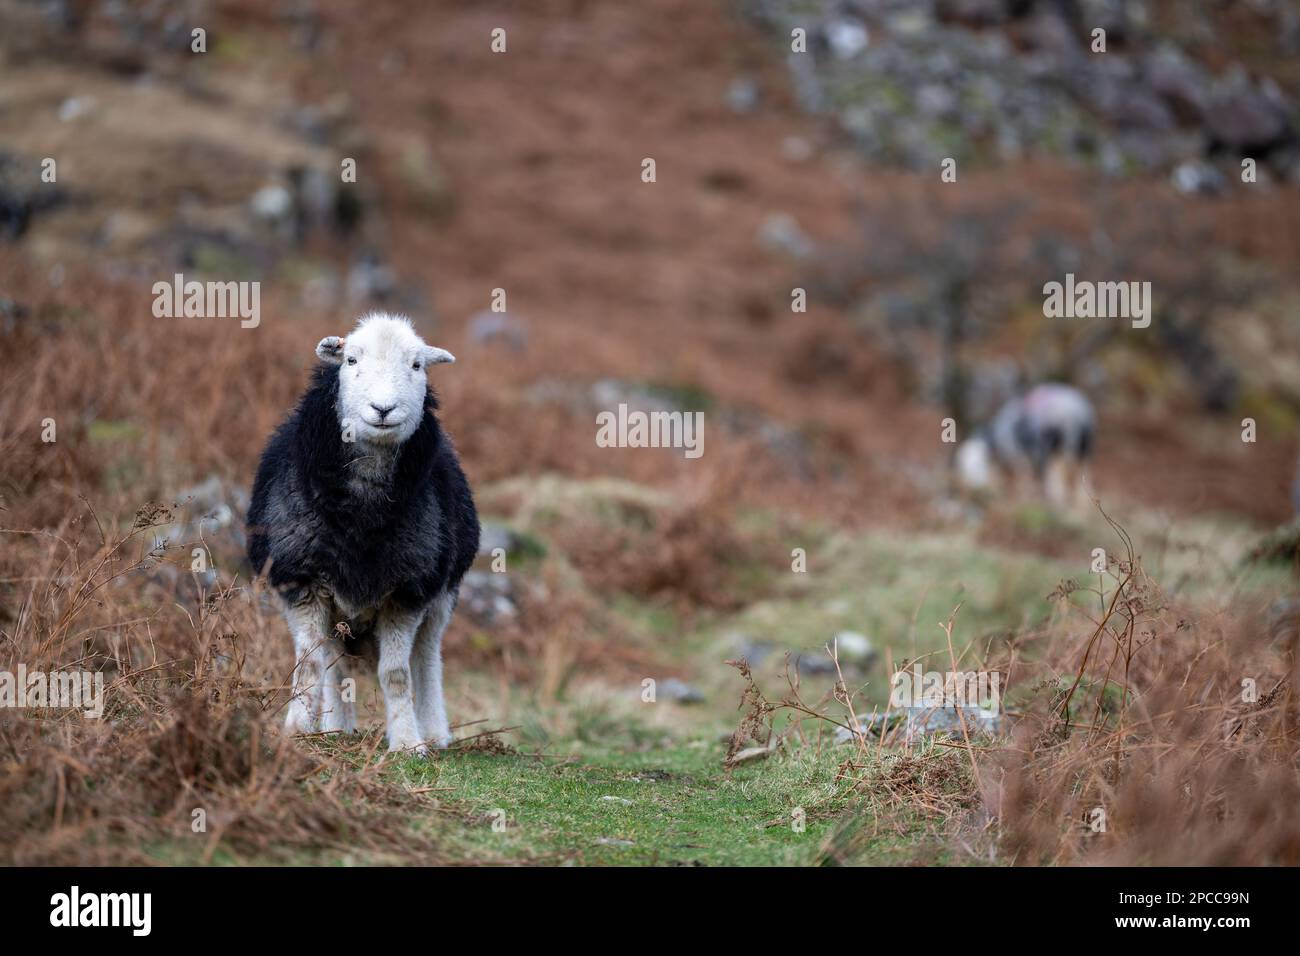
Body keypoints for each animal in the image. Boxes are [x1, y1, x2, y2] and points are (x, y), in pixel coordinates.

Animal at [246, 313, 480, 754]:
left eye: (417, 365)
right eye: (351, 360)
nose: (383, 408)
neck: (362, 514)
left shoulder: (408, 590)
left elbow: (396, 673)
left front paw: (407, 743)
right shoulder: (302, 581)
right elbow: (310, 666)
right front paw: (297, 731)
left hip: (443, 595)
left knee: (426, 658)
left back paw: (434, 731)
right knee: (335, 665)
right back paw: (336, 728)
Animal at [954, 383, 1096, 508]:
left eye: (979, 462)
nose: (975, 487)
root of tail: (1074, 413)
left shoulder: (1020, 457)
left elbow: (1024, 478)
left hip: (1053, 446)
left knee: (1056, 474)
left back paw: (1056, 499)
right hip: (1084, 446)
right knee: (1083, 473)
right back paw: (1082, 502)